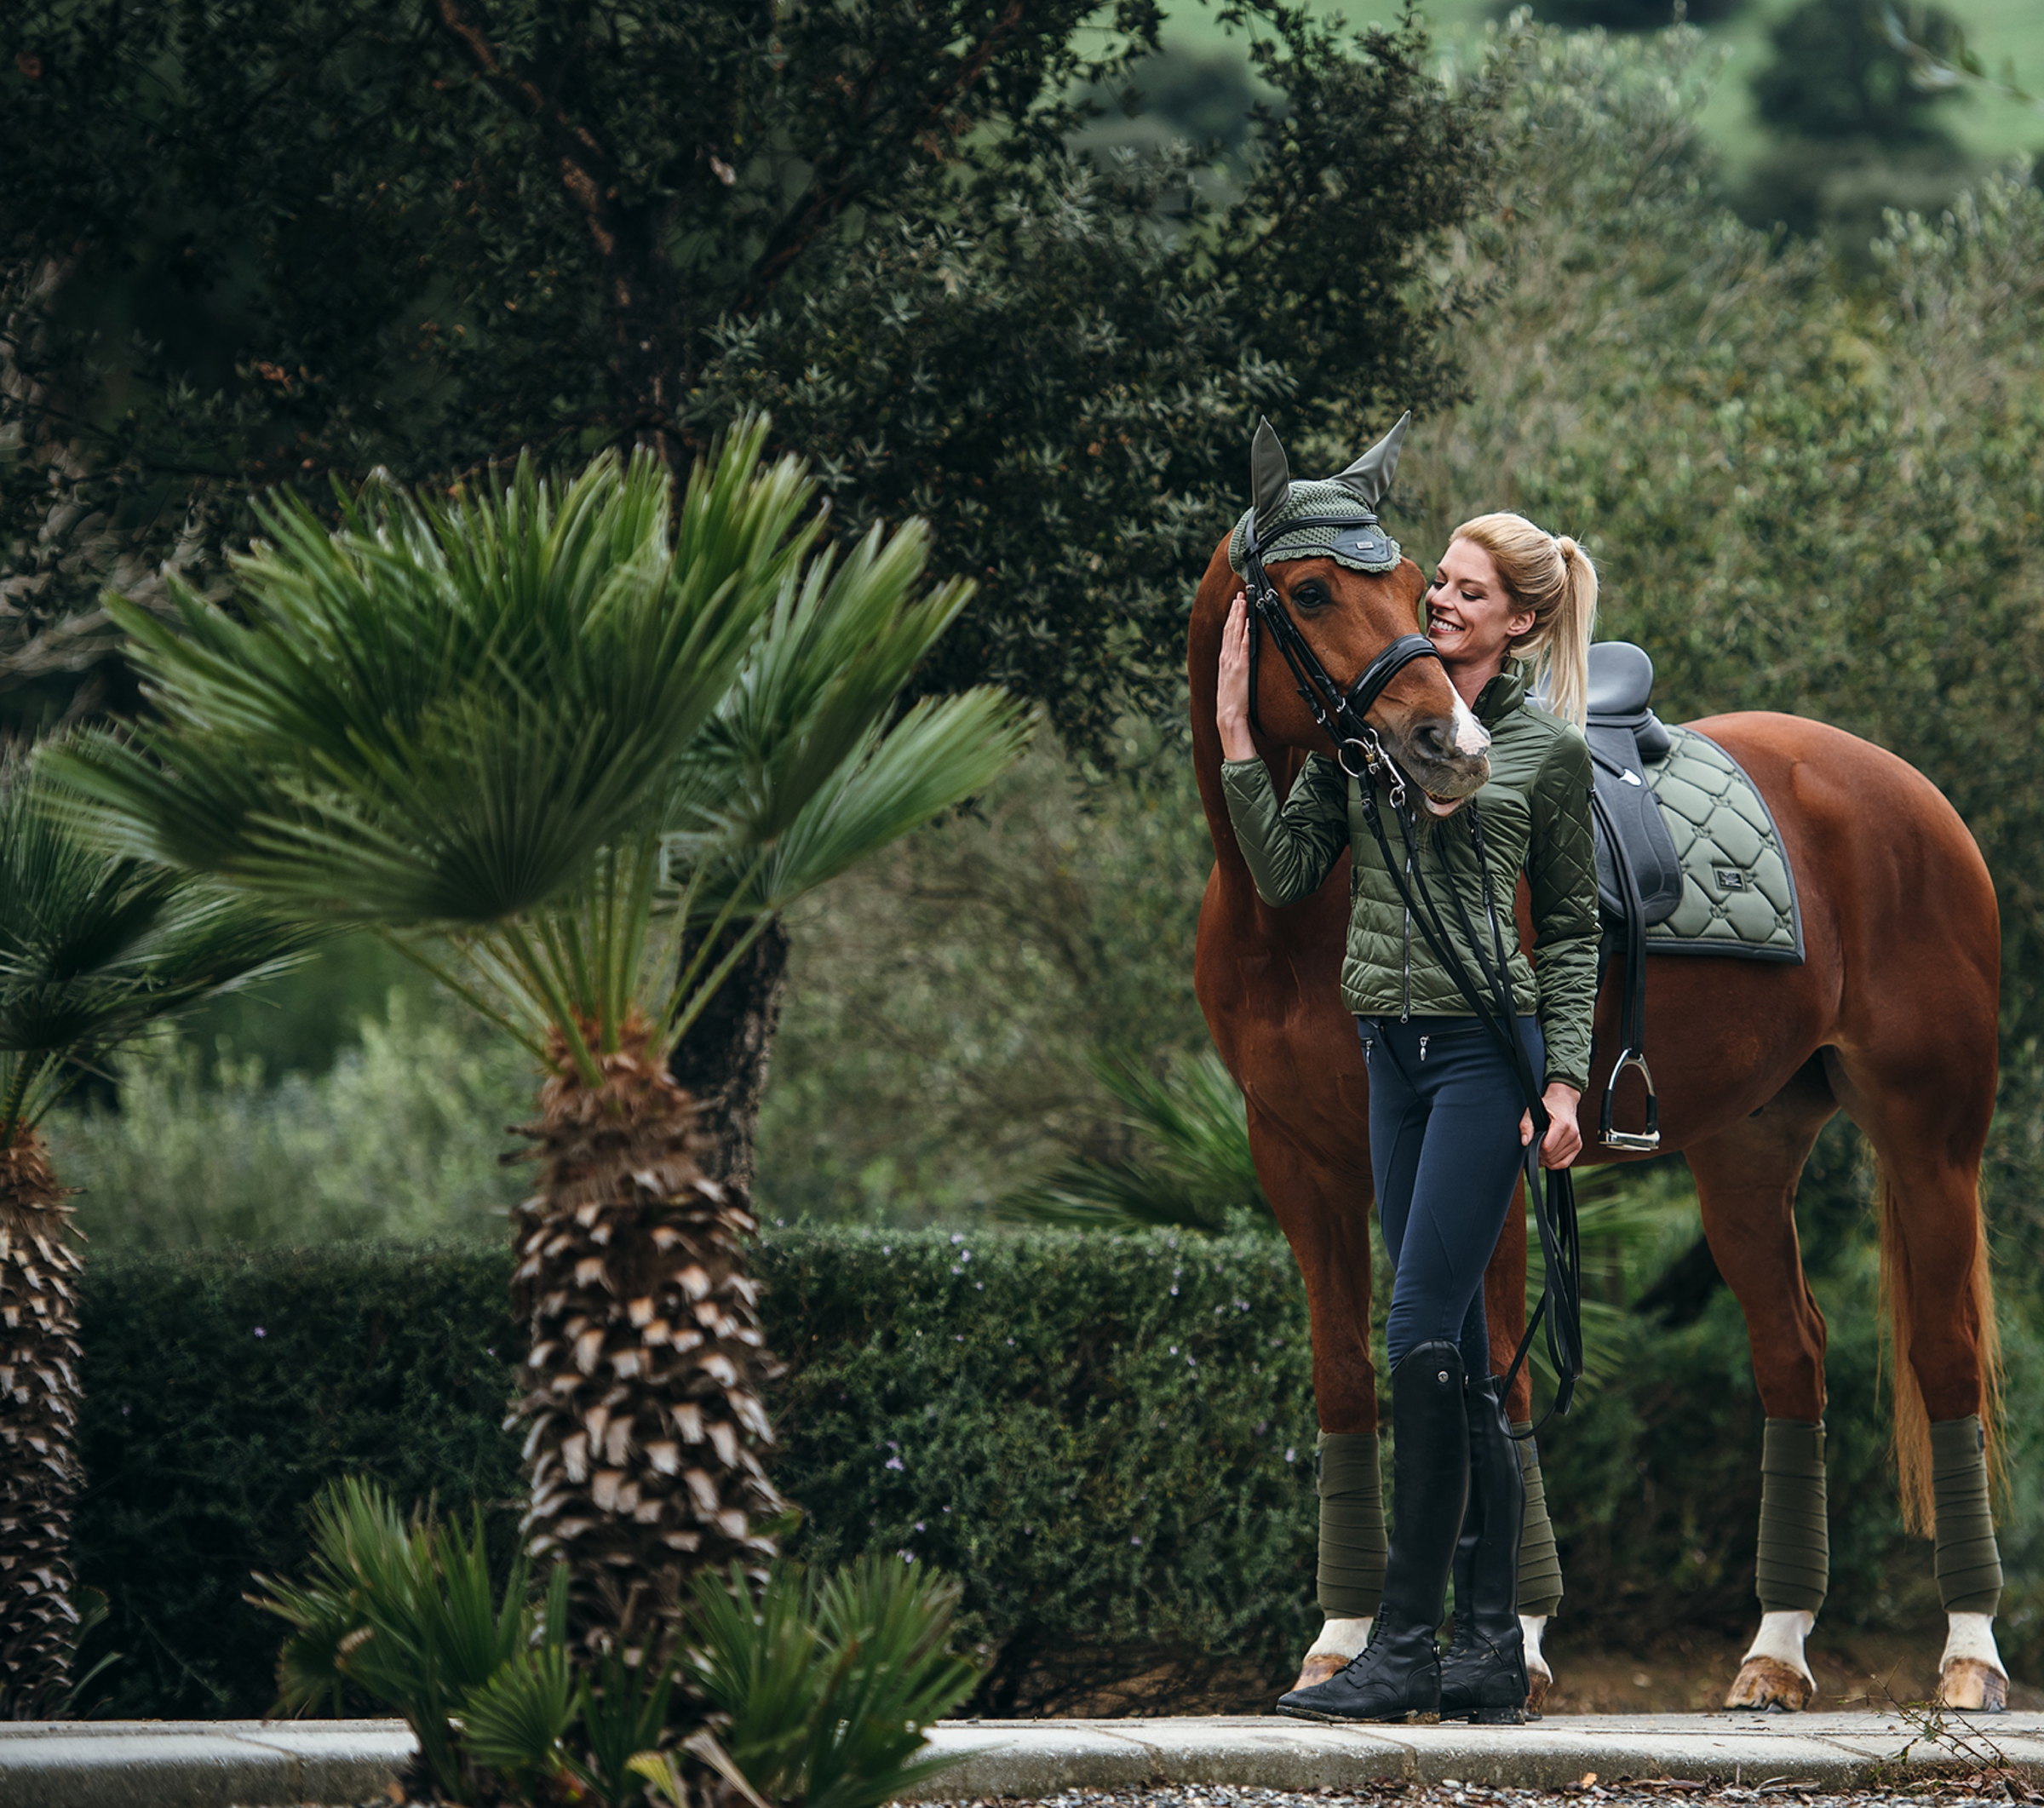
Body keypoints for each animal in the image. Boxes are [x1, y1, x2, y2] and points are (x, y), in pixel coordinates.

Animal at [1193, 504, 2003, 1708]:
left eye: (1417, 589)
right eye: (1312, 591)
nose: (1449, 748)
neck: (1298, 912)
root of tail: (1912, 796)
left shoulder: (1494, 1155)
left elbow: (1503, 1373)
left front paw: (1517, 1651)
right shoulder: (1302, 1162)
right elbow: (1347, 1381)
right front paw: (1339, 1640)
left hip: (1930, 1142)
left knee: (1944, 1358)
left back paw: (1969, 1655)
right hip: (1747, 1155)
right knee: (1794, 1354)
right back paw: (1774, 1651)